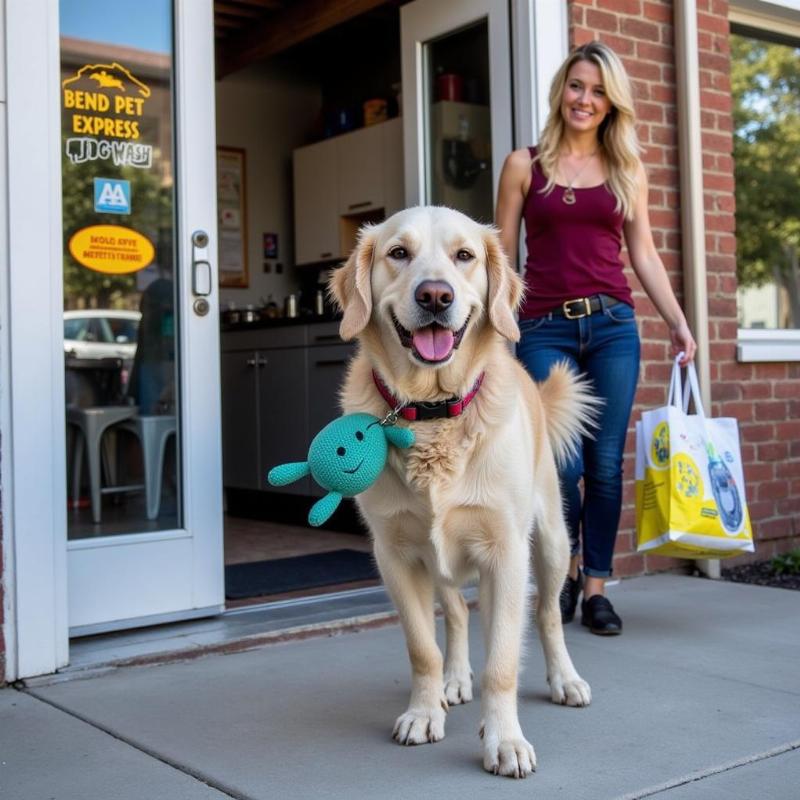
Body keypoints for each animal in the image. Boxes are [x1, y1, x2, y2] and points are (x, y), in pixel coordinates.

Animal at [328, 205, 596, 776]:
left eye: (465, 255)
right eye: (398, 253)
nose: (436, 296)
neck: (433, 412)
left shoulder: (506, 552)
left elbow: (502, 660)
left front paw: (505, 740)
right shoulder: (395, 554)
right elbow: (422, 648)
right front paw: (424, 712)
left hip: (552, 541)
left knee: (545, 615)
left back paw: (565, 679)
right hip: (441, 560)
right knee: (453, 614)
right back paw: (453, 681)